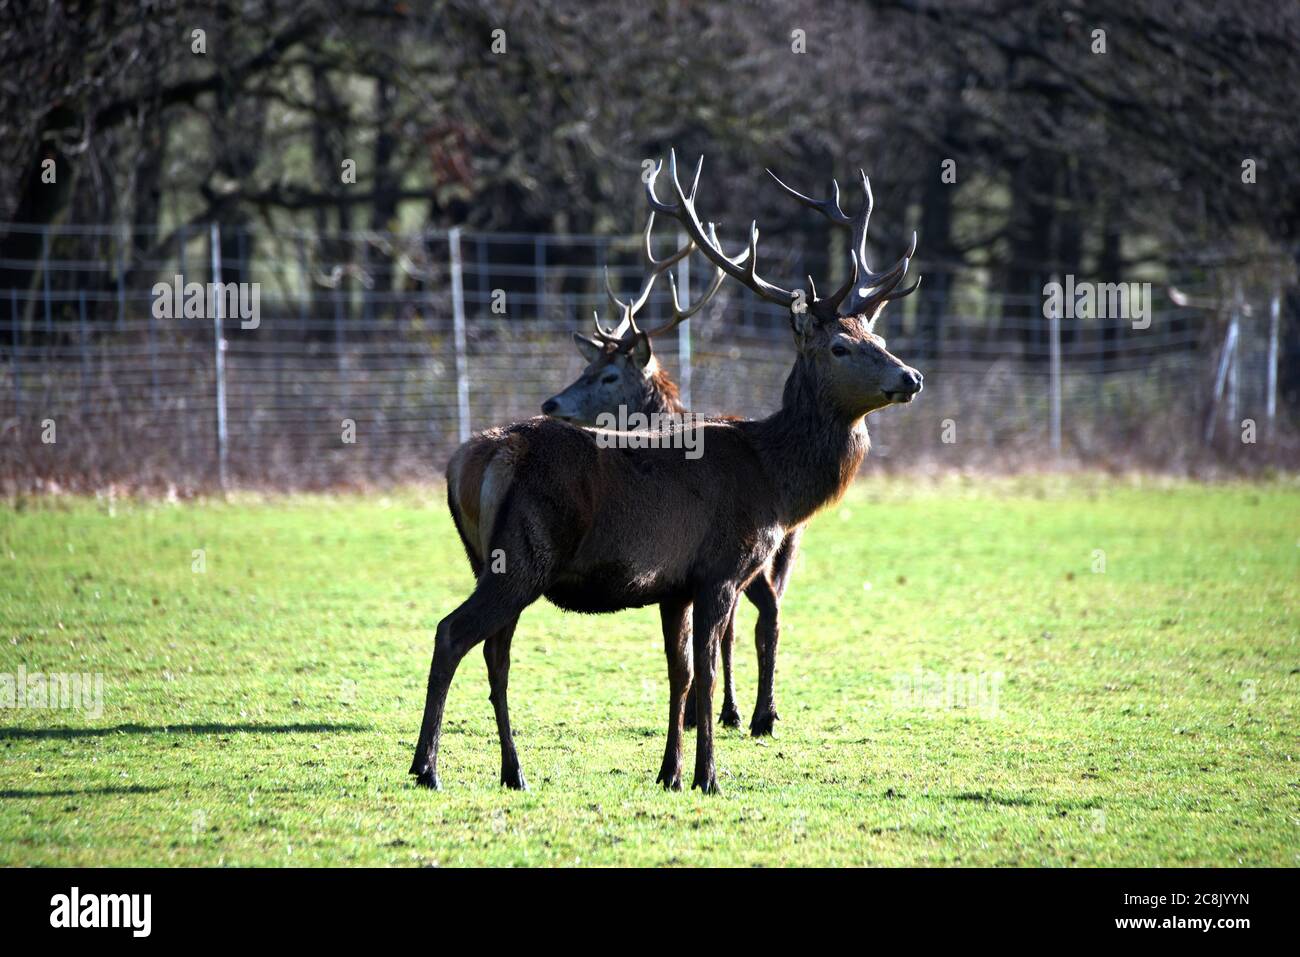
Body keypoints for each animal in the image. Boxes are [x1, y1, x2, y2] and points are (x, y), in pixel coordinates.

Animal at [540, 211, 798, 738]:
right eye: (587, 366)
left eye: (609, 376)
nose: (550, 403)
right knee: (750, 619)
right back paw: (736, 711)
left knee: (767, 614)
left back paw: (757, 713)